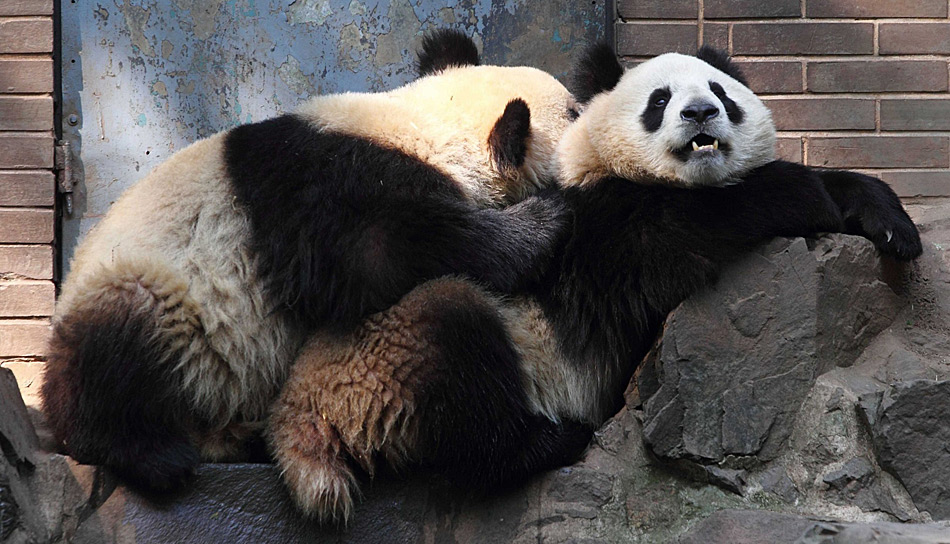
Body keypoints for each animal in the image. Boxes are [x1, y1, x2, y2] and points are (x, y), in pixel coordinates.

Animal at [42, 31, 580, 496]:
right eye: (576, 111)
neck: (427, 125)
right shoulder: (334, 188)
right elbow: (378, 258)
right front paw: (541, 223)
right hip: (159, 296)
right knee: (122, 337)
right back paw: (148, 453)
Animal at [268, 43, 924, 524]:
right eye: (660, 99)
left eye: (720, 92)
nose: (700, 114)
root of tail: (296, 419)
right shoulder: (601, 231)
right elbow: (694, 226)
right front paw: (803, 193)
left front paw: (890, 224)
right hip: (381, 370)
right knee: (453, 333)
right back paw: (552, 442)